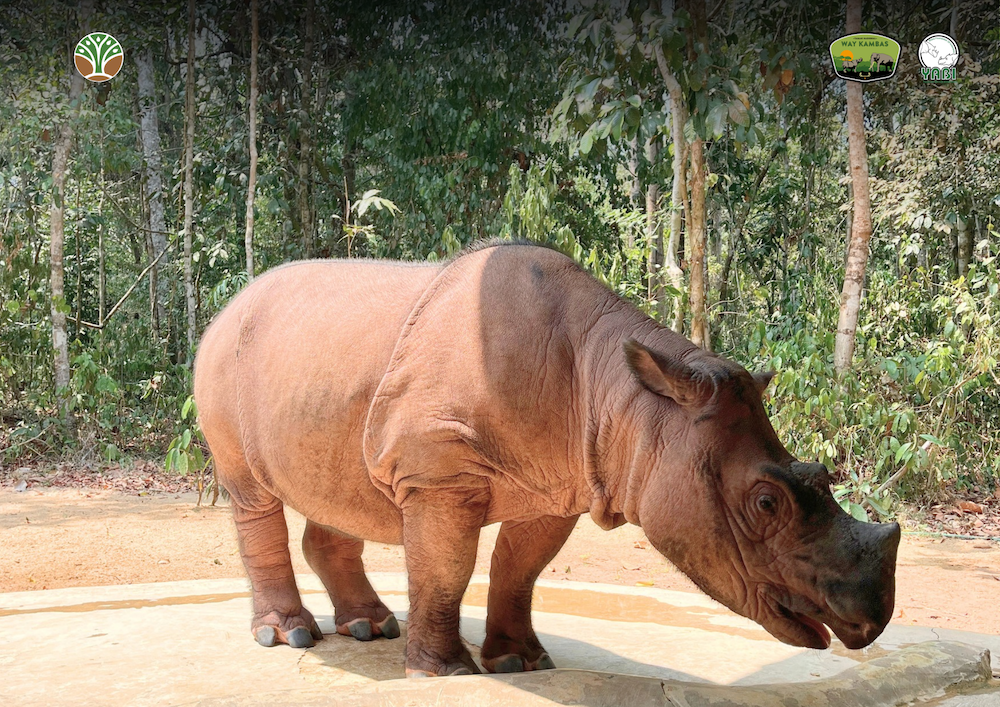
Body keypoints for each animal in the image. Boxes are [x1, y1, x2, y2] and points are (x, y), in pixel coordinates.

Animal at [194, 242, 900, 677]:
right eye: (766, 502)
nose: (873, 620)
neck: (632, 402)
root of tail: (226, 305)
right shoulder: (441, 470)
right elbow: (448, 565)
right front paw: (444, 672)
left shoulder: (562, 483)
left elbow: (520, 569)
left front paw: (520, 663)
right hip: (223, 354)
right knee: (253, 494)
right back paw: (289, 637)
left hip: (319, 374)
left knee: (337, 486)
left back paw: (371, 629)